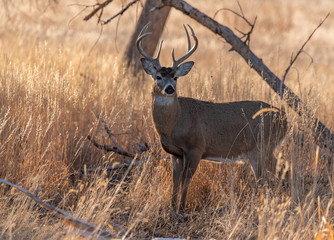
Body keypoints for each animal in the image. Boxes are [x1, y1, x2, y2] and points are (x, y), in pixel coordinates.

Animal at [136, 23, 288, 213]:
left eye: (175, 77)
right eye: (158, 77)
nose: (169, 89)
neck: (176, 122)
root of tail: (286, 120)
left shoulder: (196, 147)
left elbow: (186, 179)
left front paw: (182, 209)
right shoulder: (175, 153)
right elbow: (175, 180)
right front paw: (172, 208)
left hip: (263, 145)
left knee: (274, 173)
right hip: (261, 149)